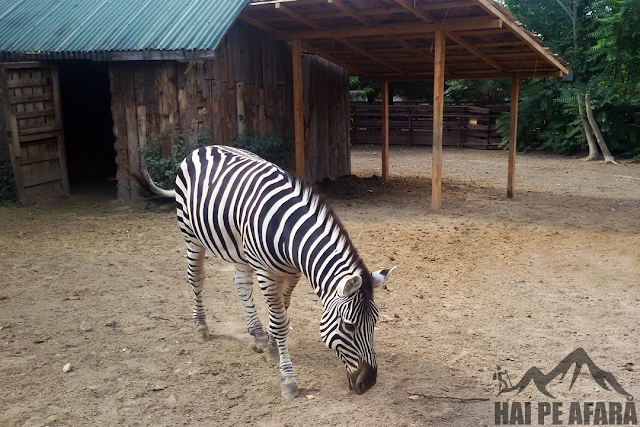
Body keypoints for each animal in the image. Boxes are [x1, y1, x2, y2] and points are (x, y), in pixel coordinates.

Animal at [131, 145, 396, 400]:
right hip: (191, 236)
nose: (369, 383)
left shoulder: (292, 273)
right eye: (349, 326)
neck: (288, 232)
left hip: (240, 249)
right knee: (196, 279)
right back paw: (201, 327)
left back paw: (256, 332)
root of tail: (202, 148)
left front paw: (269, 344)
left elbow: (281, 312)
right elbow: (281, 321)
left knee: (240, 283)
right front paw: (288, 379)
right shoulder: (266, 273)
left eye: (375, 322)